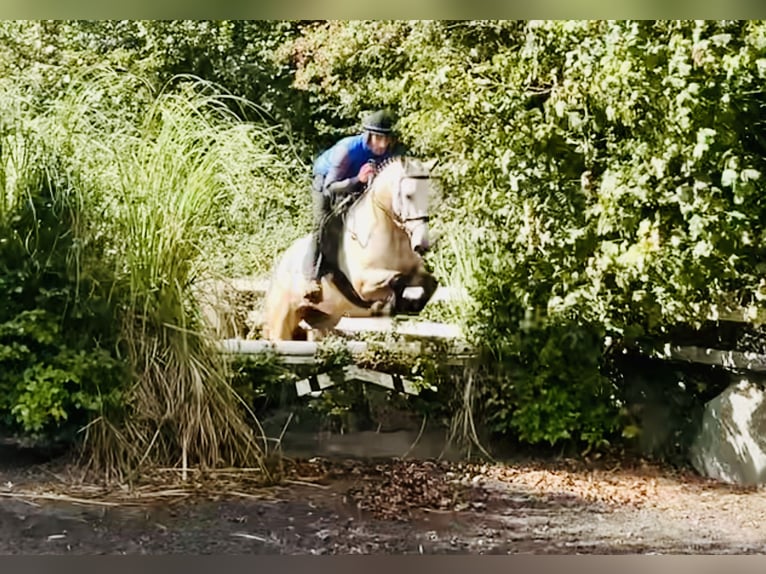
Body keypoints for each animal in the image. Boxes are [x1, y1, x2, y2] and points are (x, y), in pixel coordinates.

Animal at [262, 156, 440, 341]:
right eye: (408, 195)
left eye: (429, 197)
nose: (422, 245)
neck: (393, 237)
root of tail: (279, 266)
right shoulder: (363, 284)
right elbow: (397, 278)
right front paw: (386, 305)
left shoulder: (414, 272)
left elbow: (430, 283)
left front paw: (411, 305)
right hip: (281, 320)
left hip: (322, 320)